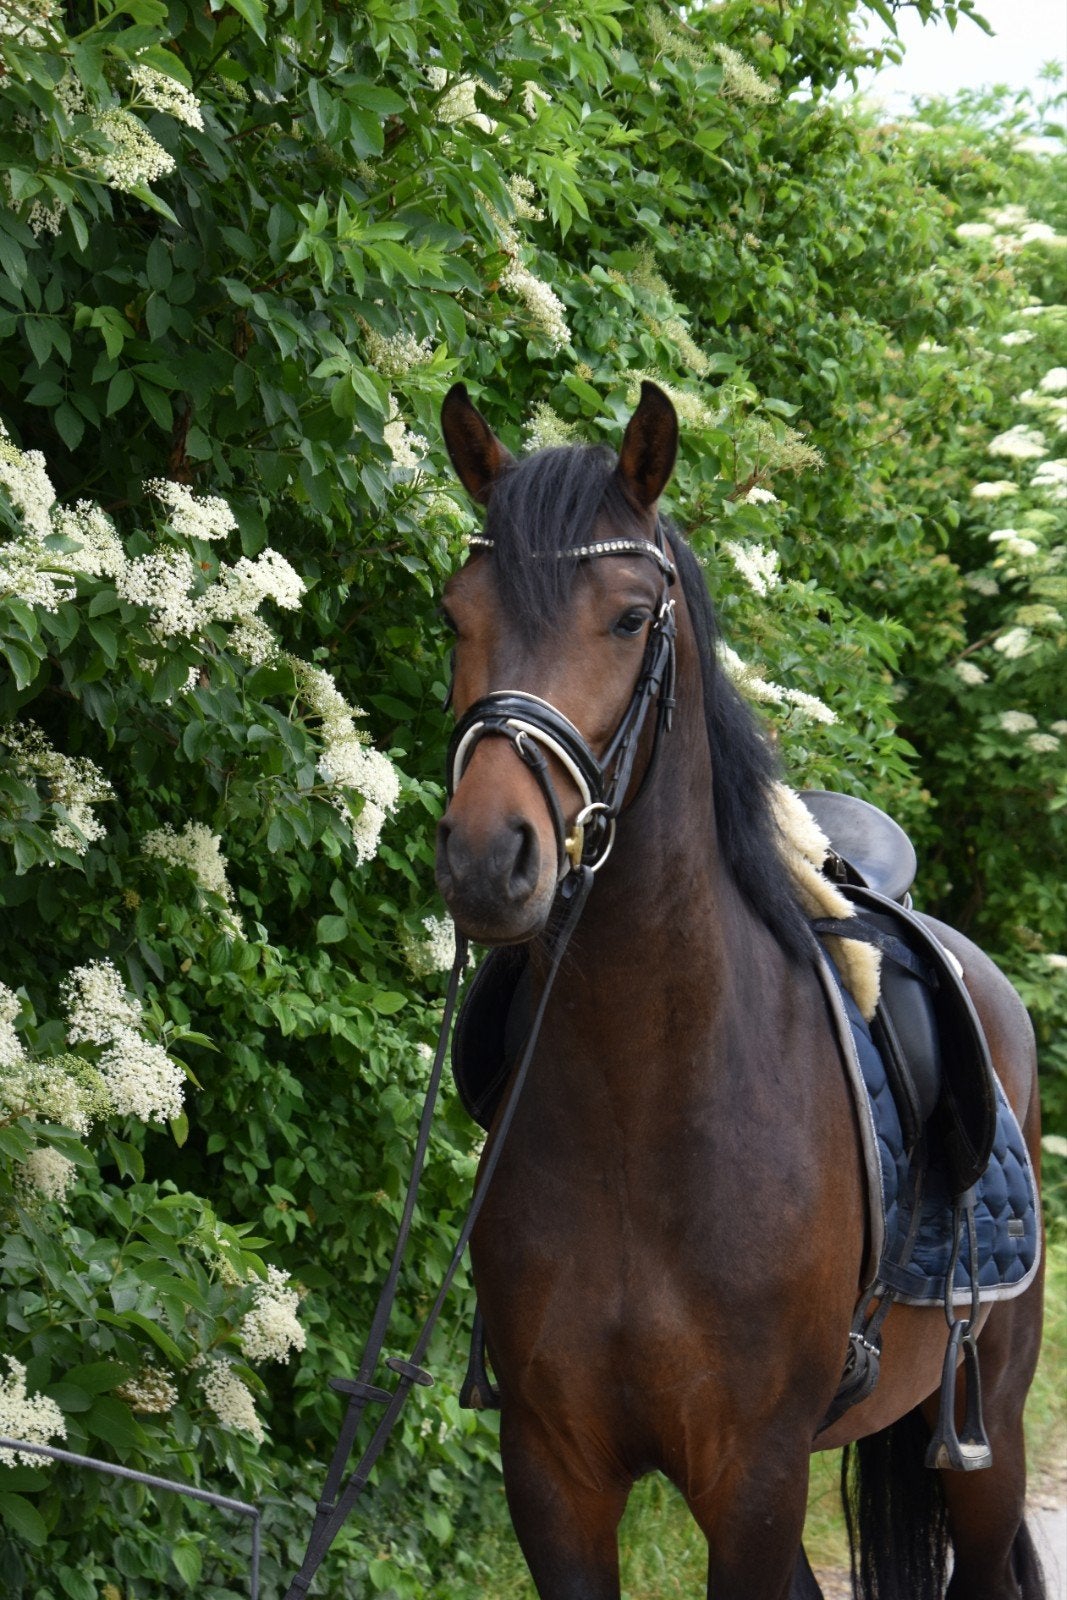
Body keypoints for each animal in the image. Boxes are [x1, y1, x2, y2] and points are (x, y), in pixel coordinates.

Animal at [433, 379, 1046, 1600]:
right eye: (453, 615)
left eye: (630, 618)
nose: (487, 858)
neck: (641, 1103)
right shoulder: (553, 1473)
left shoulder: (753, 1474)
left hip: (984, 1433)